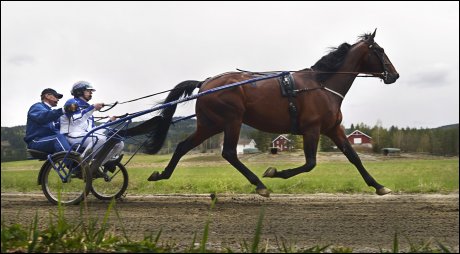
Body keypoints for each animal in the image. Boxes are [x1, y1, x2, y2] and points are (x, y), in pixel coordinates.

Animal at [141, 29, 398, 196]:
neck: (322, 85)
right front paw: (274, 172)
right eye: (380, 50)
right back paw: (260, 185)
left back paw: (161, 175)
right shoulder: (312, 129)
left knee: (182, 146)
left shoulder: (333, 128)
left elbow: (354, 157)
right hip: (231, 120)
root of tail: (205, 83)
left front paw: (379, 186)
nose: (394, 75)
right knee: (229, 153)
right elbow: (310, 163)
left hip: (209, 124)